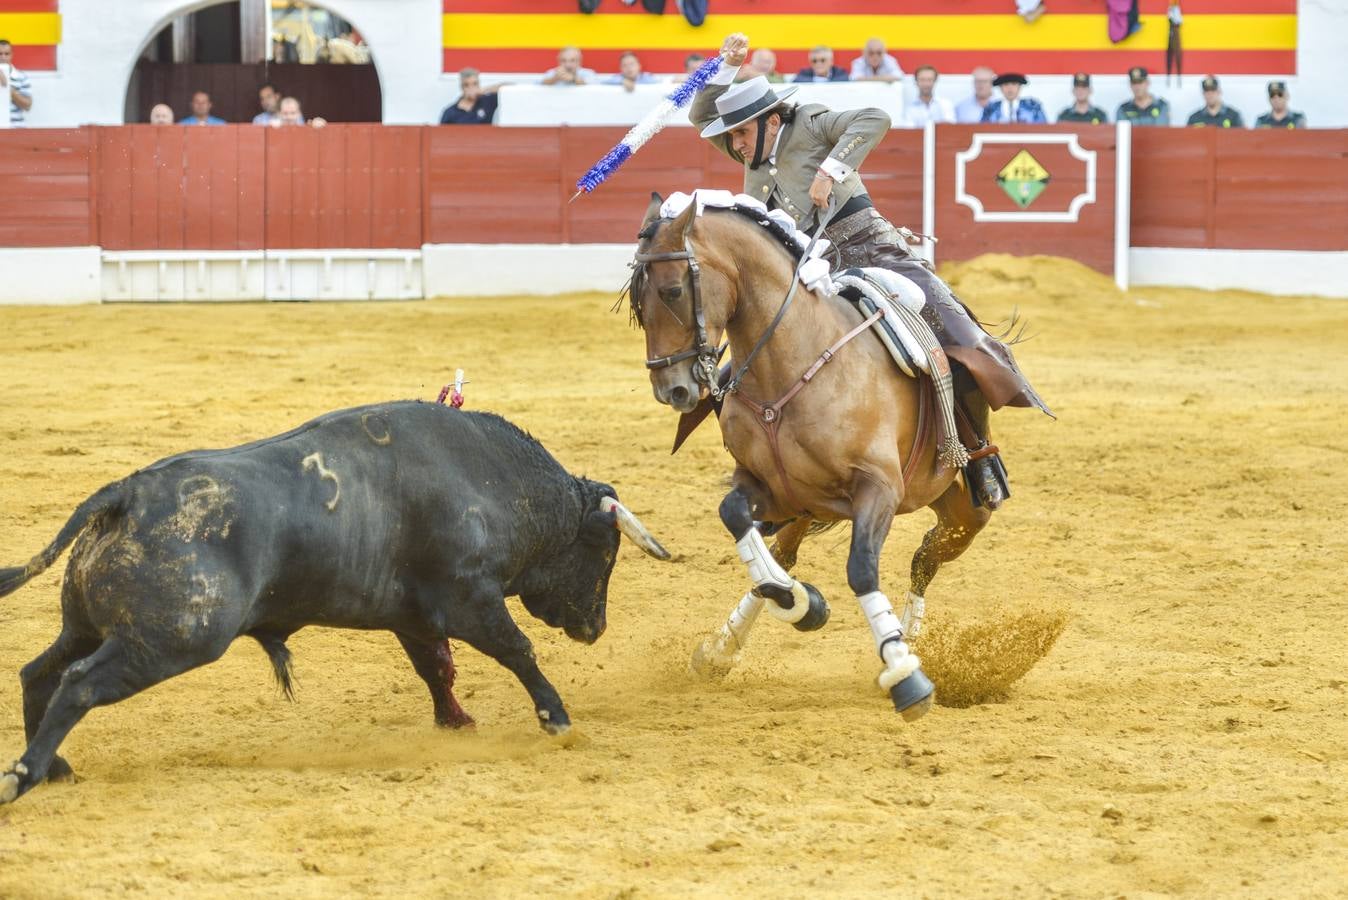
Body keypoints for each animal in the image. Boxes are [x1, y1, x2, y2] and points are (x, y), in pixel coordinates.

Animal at [0, 401, 671, 802]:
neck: (495, 483)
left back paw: (51, 769)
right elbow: (518, 651)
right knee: (78, 684)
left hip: (89, 627)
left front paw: (455, 722)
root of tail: (126, 494)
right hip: (171, 639)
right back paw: (24, 775)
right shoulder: (470, 601)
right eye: (606, 553)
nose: (595, 626)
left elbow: (436, 669)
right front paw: (555, 718)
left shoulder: (415, 617)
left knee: (39, 673)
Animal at [625, 194, 997, 722]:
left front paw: (905, 673)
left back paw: (909, 637)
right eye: (638, 304)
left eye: (673, 291)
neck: (791, 363)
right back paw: (725, 646)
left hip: (965, 509)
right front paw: (800, 602)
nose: (670, 389)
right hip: (814, 508)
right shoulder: (768, 488)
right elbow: (736, 519)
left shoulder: (878, 489)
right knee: (787, 556)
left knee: (925, 558)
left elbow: (861, 568)